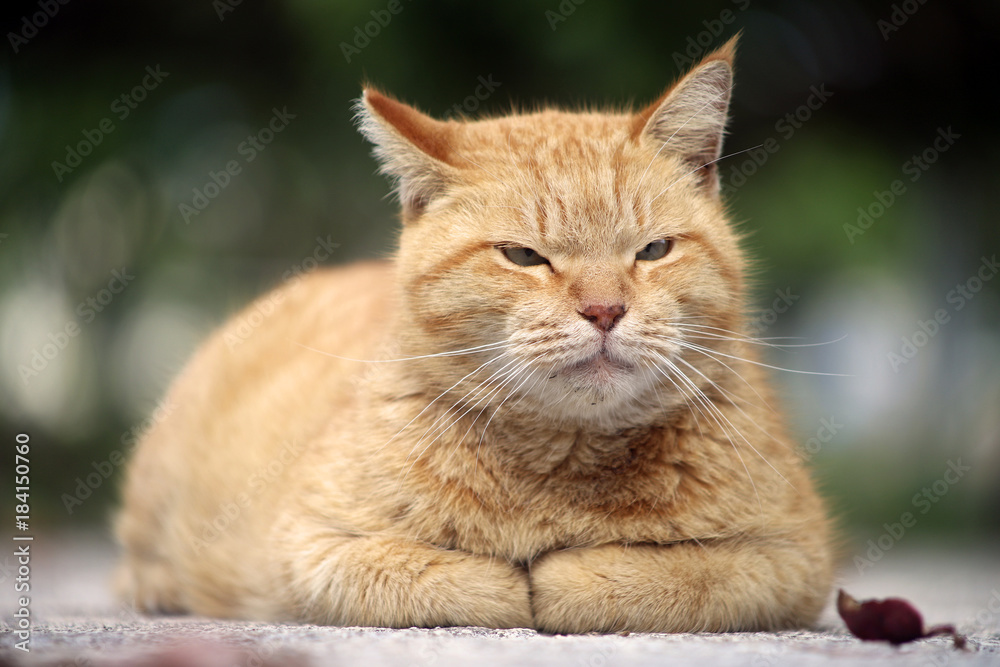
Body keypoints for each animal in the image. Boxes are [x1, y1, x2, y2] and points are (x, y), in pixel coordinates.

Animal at [115, 39, 836, 636]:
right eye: (523, 256)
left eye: (654, 250)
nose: (605, 310)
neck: (562, 461)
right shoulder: (306, 548)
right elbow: (456, 579)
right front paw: (516, 578)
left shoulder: (793, 556)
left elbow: (661, 576)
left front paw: (569, 574)